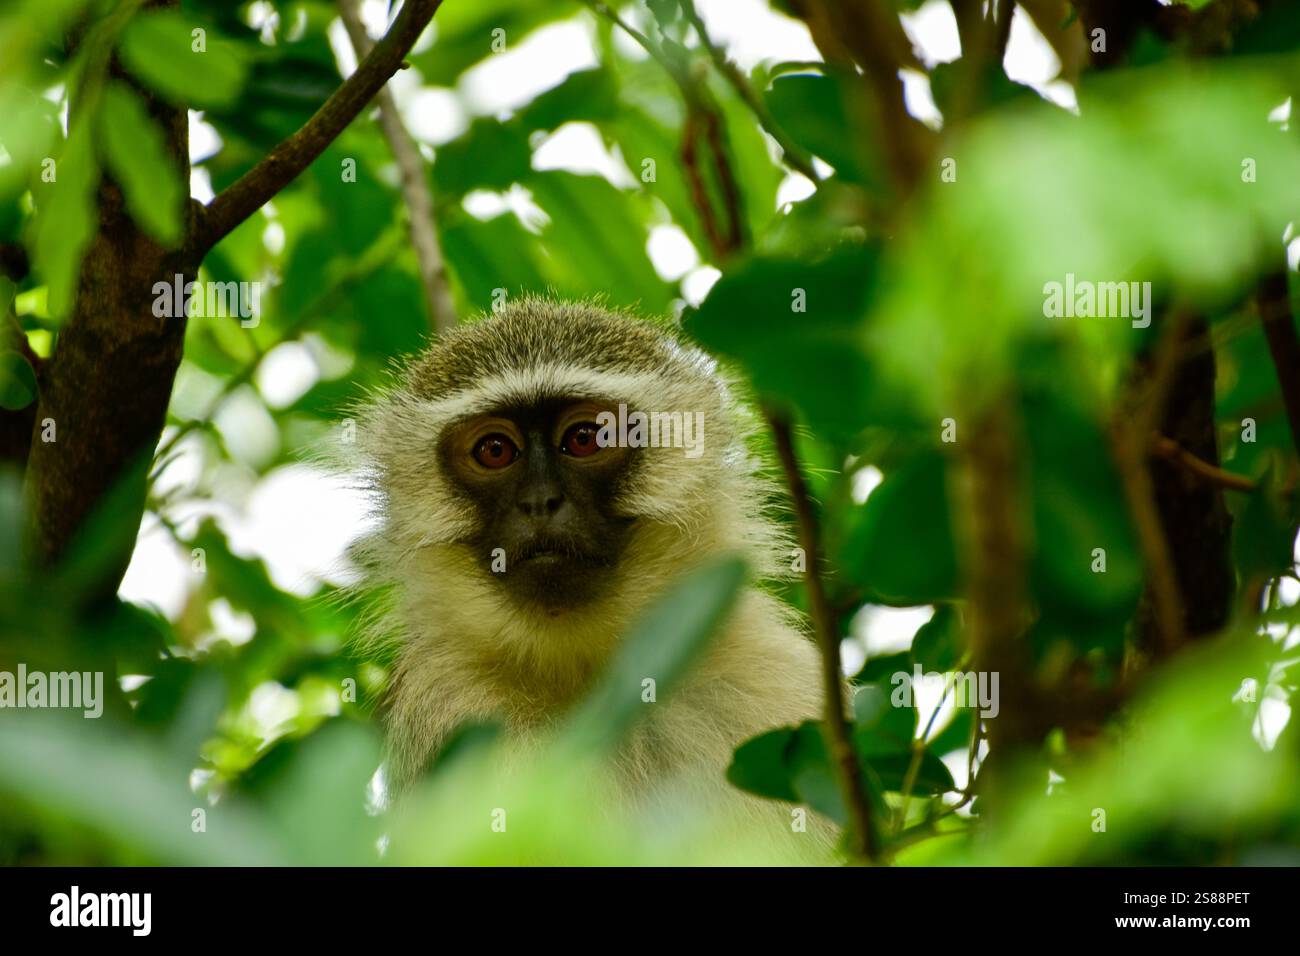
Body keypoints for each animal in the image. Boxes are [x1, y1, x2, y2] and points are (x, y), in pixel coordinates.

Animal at [346, 297, 832, 854]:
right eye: (495, 450)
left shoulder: (779, 685)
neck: (601, 684)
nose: (540, 502)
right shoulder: (451, 706)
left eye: (583, 439)